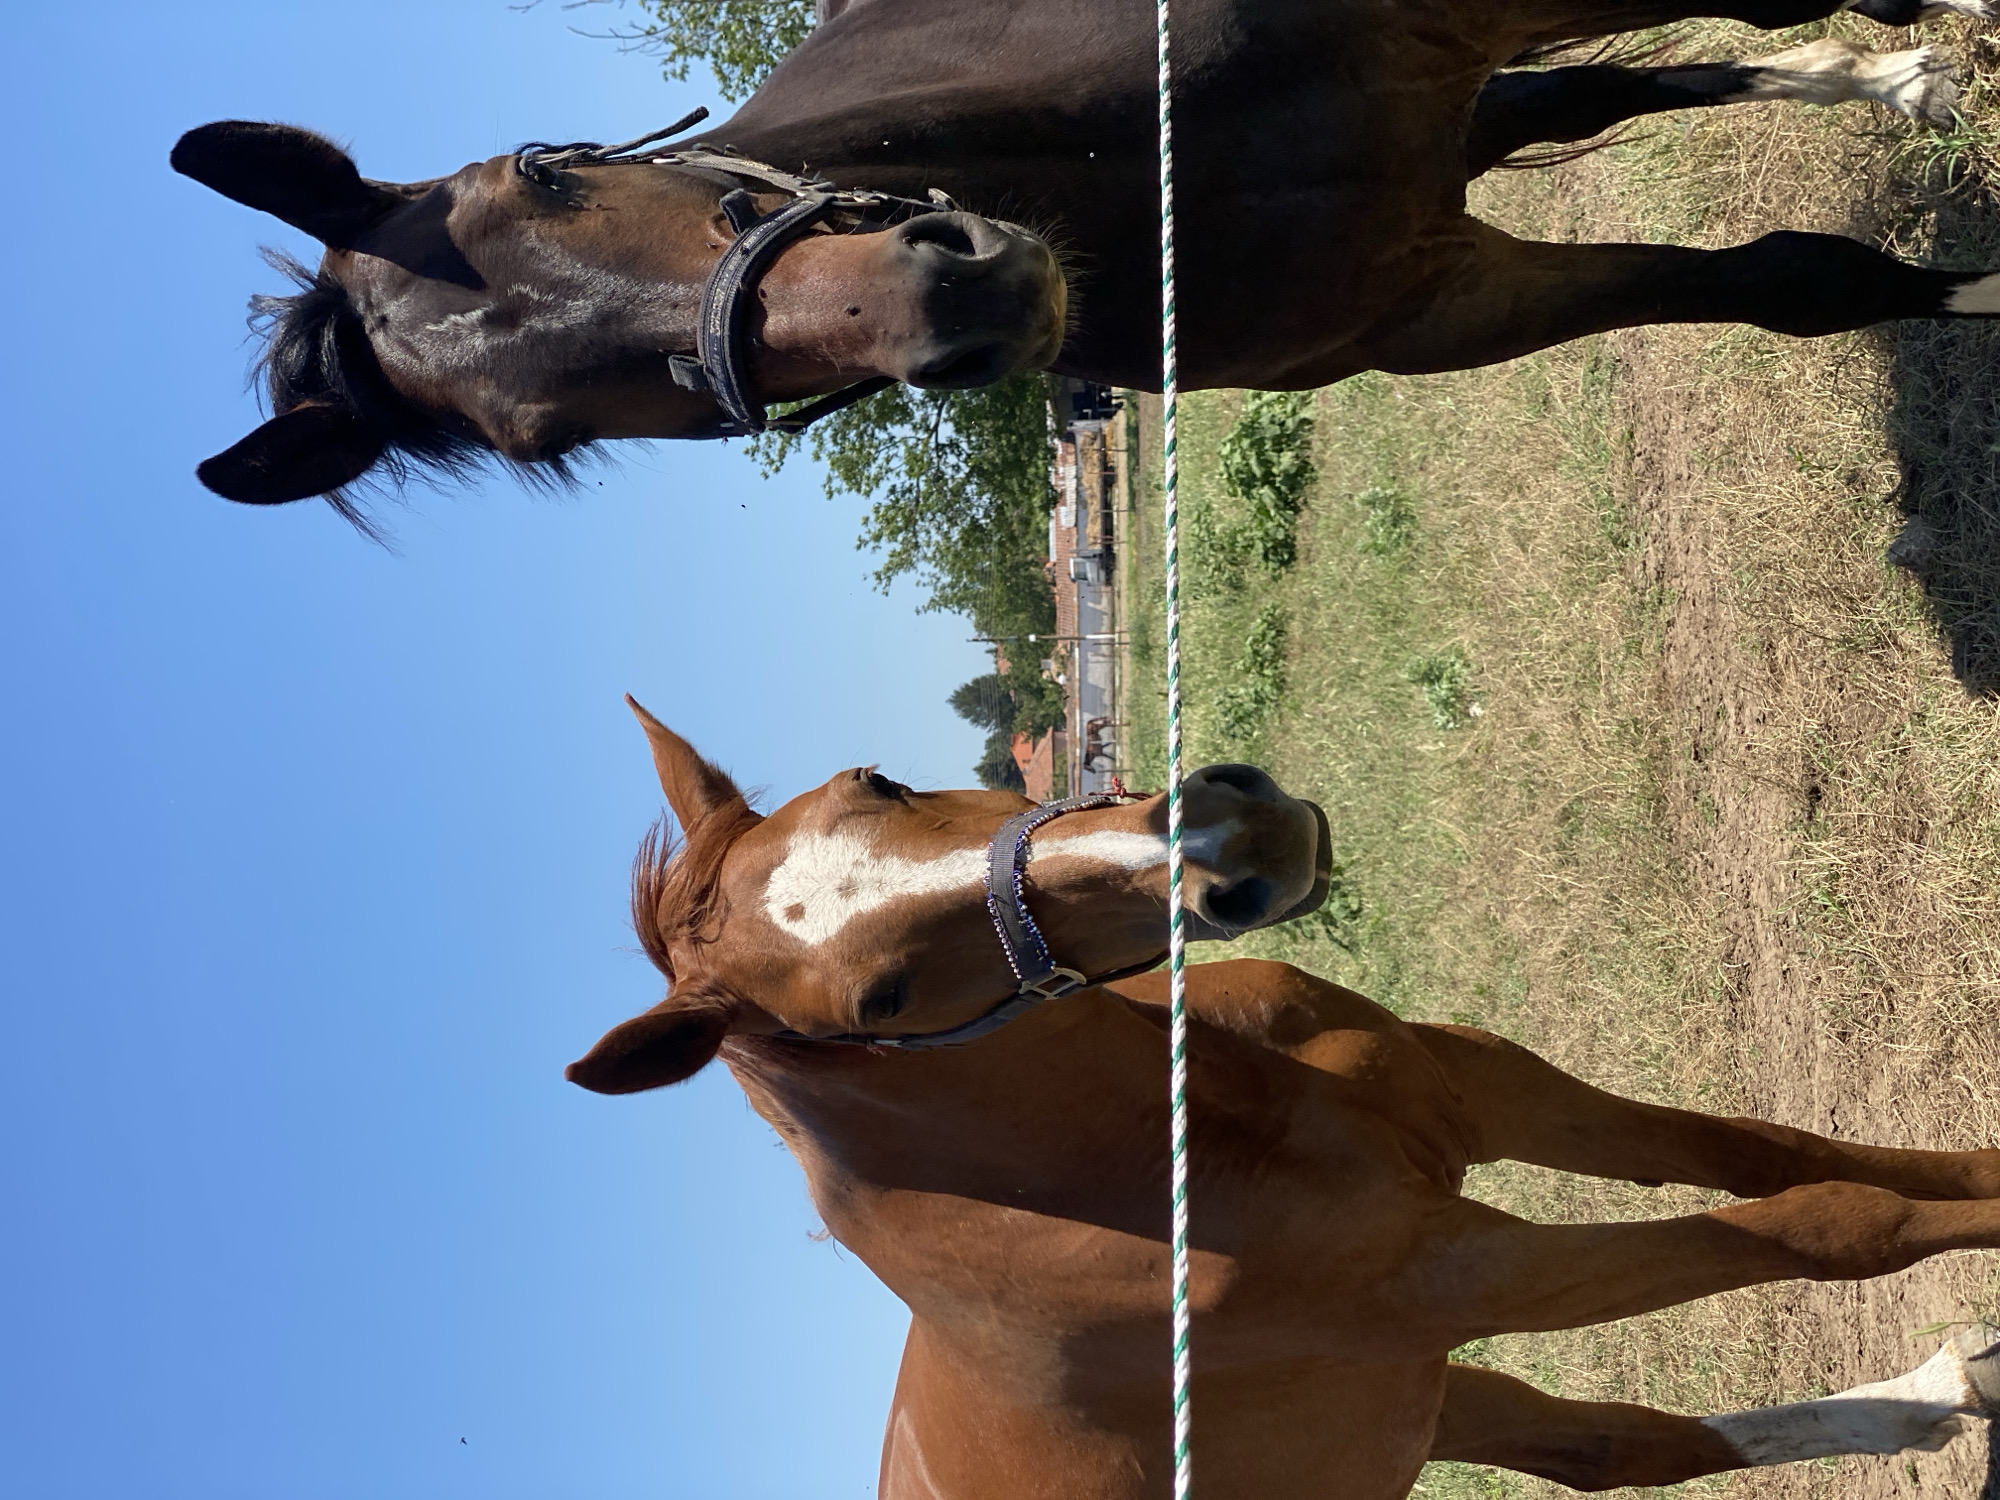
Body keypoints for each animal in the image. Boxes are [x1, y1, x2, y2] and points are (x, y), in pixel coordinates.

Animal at [174, 0, 2000, 523]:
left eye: (544, 175)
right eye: (554, 433)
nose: (953, 294)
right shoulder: (1436, 300)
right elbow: (1797, 284)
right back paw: (1901, 75)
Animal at [577, 696, 2000, 1498]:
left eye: (870, 779)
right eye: (878, 1001)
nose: (1226, 839)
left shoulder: (1482, 1091)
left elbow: (1764, 1152)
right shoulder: (1463, 1275)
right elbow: (1826, 1225)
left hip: (1412, 1402)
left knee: (1621, 1451)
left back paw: (1941, 1391)